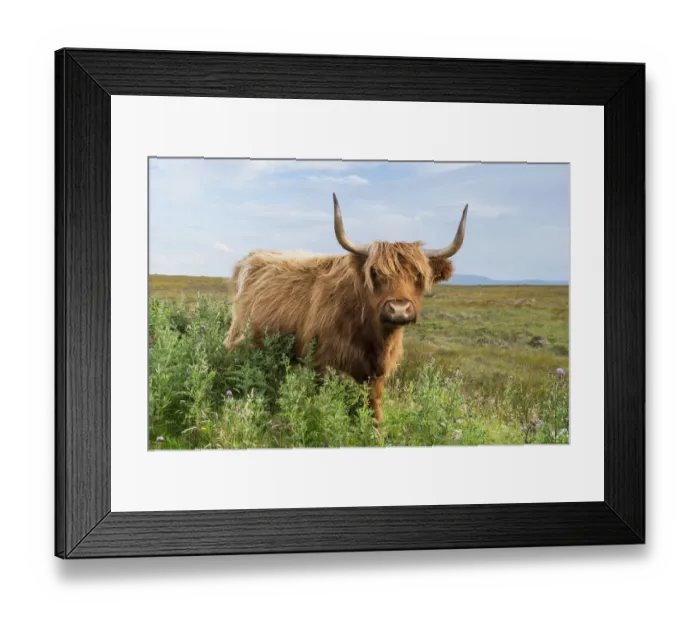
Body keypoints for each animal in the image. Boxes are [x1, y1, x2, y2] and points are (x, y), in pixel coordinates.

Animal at [224, 193, 469, 423]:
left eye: (419, 275)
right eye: (375, 273)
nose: (399, 309)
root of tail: (249, 259)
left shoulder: (376, 374)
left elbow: (374, 408)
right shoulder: (322, 364)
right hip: (240, 340)